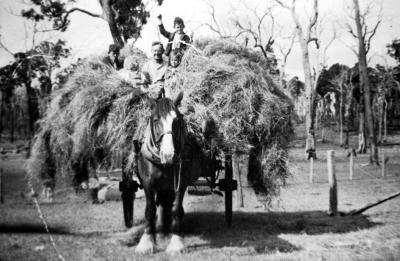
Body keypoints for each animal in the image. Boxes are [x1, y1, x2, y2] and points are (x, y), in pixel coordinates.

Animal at [135, 91, 205, 252]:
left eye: (177, 120)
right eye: (155, 120)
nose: (168, 155)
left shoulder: (181, 182)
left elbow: (176, 210)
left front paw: (176, 242)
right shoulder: (148, 183)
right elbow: (150, 210)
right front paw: (147, 242)